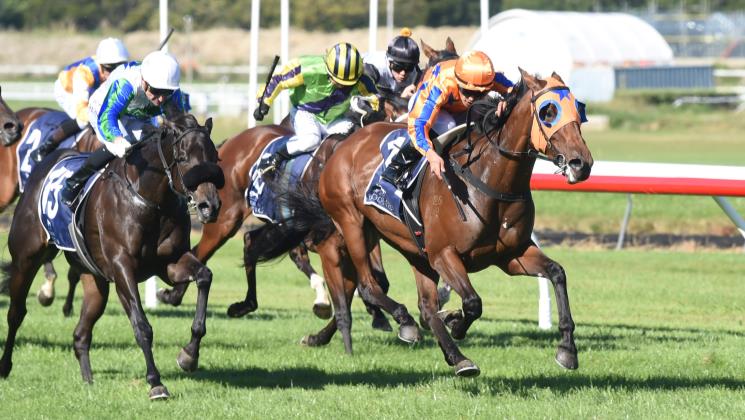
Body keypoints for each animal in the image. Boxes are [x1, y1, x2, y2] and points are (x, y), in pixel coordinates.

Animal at [0, 114, 223, 399]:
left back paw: (88, 380)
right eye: (183, 158)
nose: (210, 206)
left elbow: (205, 276)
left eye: (214, 156)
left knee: (81, 333)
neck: (149, 199)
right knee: (16, 313)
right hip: (26, 259)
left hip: (94, 279)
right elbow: (141, 325)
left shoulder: (169, 262)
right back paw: (5, 365)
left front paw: (189, 355)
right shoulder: (122, 267)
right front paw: (156, 383)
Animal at [291, 69, 593, 376]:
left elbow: (557, 273)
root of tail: (344, 143)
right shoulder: (444, 254)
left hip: (408, 246)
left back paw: (454, 355)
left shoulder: (511, 255)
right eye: (548, 112)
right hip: (352, 224)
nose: (581, 164)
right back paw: (406, 323)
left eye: (579, 110)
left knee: (418, 303)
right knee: (368, 285)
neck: (488, 179)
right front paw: (456, 323)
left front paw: (567, 349)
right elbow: (472, 303)